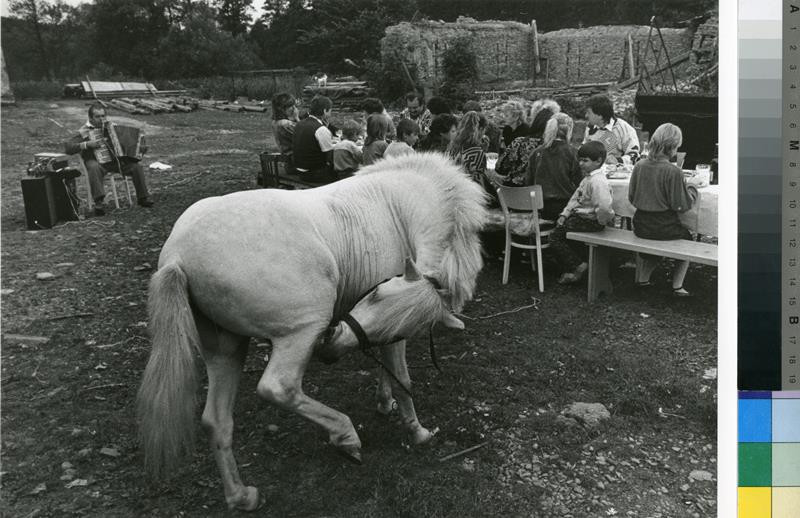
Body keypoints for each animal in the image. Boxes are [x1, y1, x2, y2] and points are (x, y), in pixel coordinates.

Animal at [136, 153, 488, 512]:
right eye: (376, 293)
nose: (330, 346)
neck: (402, 204)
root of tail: (178, 256)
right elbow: (403, 380)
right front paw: (416, 430)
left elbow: (386, 370)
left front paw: (384, 401)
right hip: (301, 331)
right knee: (280, 388)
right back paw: (345, 435)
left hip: (226, 348)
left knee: (216, 421)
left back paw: (241, 495)